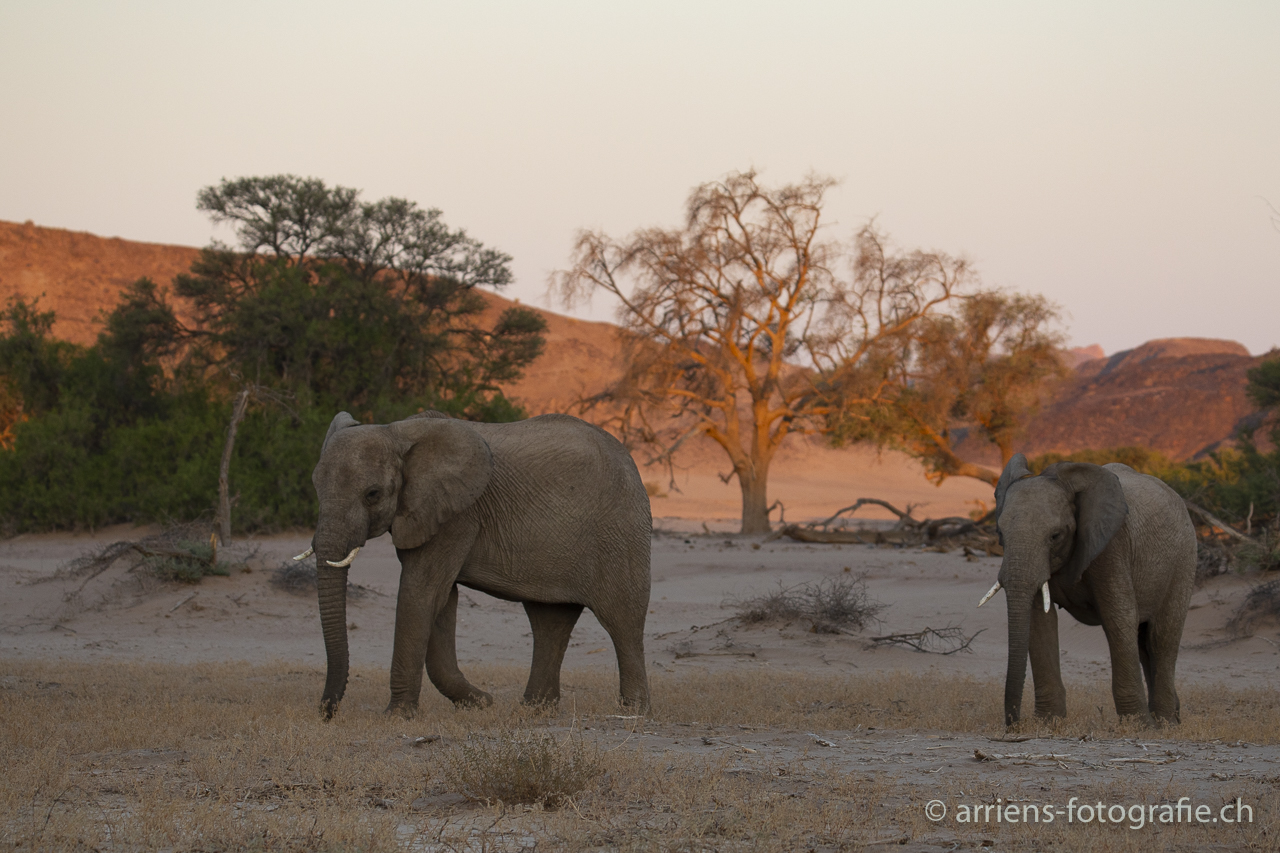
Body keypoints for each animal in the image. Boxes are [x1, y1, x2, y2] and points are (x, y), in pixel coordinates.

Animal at [299, 409, 650, 712]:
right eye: (315, 486)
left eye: (372, 494)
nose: (327, 712)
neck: (396, 432)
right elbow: (441, 599)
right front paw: (479, 703)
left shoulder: (457, 515)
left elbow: (421, 592)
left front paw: (397, 715)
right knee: (549, 621)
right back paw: (535, 709)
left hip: (620, 532)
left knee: (622, 619)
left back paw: (634, 712)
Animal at [977, 450, 1198, 722]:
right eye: (1000, 533)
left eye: (1055, 536)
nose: (1013, 724)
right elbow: (1039, 620)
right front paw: (1048, 723)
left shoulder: (1112, 545)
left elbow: (1118, 618)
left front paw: (1136, 725)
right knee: (1144, 642)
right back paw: (1169, 718)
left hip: (1184, 560)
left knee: (1161, 637)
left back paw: (1164, 723)